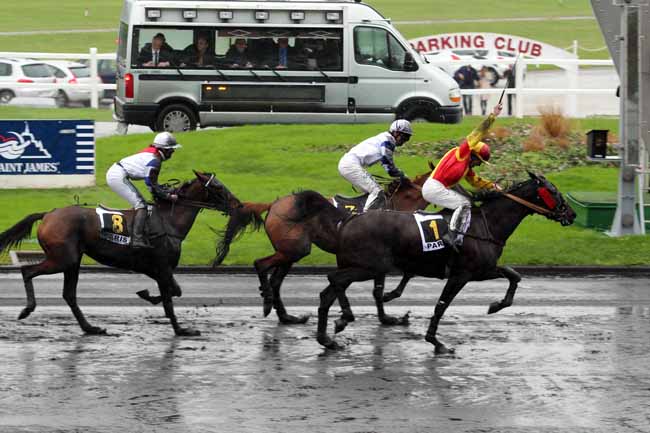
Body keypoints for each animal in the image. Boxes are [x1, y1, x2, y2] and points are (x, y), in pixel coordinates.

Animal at [0, 171, 242, 336]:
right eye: (218, 187)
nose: (238, 204)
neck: (169, 221)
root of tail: (48, 214)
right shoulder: (162, 267)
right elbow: (169, 300)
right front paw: (181, 330)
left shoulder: (155, 269)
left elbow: (175, 291)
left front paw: (146, 294)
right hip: (63, 259)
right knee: (27, 271)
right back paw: (27, 309)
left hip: (73, 261)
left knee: (69, 294)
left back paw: (90, 328)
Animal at [211, 166, 433, 326]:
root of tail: (273, 205)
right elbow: (387, 284)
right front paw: (388, 311)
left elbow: (392, 282)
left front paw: (387, 316)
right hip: (295, 248)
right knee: (261, 265)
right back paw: (267, 302)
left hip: (289, 252)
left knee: (275, 280)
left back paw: (287, 317)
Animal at [310, 172, 576, 353]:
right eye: (553, 191)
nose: (571, 214)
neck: (486, 225)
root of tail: (349, 220)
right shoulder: (461, 275)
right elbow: (442, 306)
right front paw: (436, 342)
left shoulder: (482, 270)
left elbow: (514, 275)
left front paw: (496, 305)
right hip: (368, 267)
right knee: (334, 280)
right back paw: (344, 318)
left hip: (357, 265)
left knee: (328, 292)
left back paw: (327, 338)